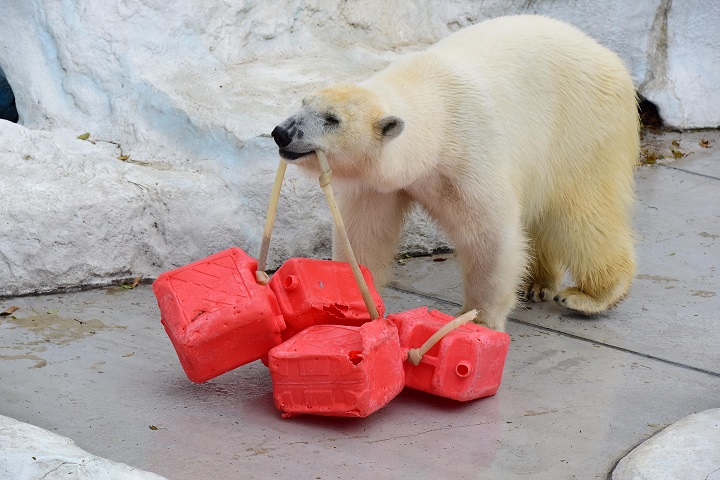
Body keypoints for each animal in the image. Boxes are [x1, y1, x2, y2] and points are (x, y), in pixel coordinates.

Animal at [270, 15, 636, 330]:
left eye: (332, 119)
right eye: (303, 103)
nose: (282, 133)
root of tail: (608, 56)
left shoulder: (469, 153)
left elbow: (489, 232)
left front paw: (479, 319)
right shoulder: (378, 183)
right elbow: (364, 232)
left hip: (582, 125)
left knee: (582, 213)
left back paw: (590, 296)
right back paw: (536, 284)